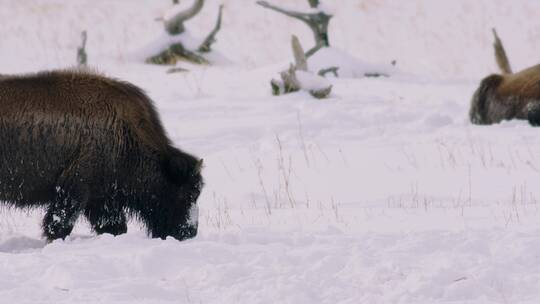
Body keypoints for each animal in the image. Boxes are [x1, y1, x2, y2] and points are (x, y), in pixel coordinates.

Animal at [0, 69, 204, 242]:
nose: (189, 232)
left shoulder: (102, 198)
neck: (125, 134)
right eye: (190, 192)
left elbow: (113, 226)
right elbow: (60, 224)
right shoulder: (74, 189)